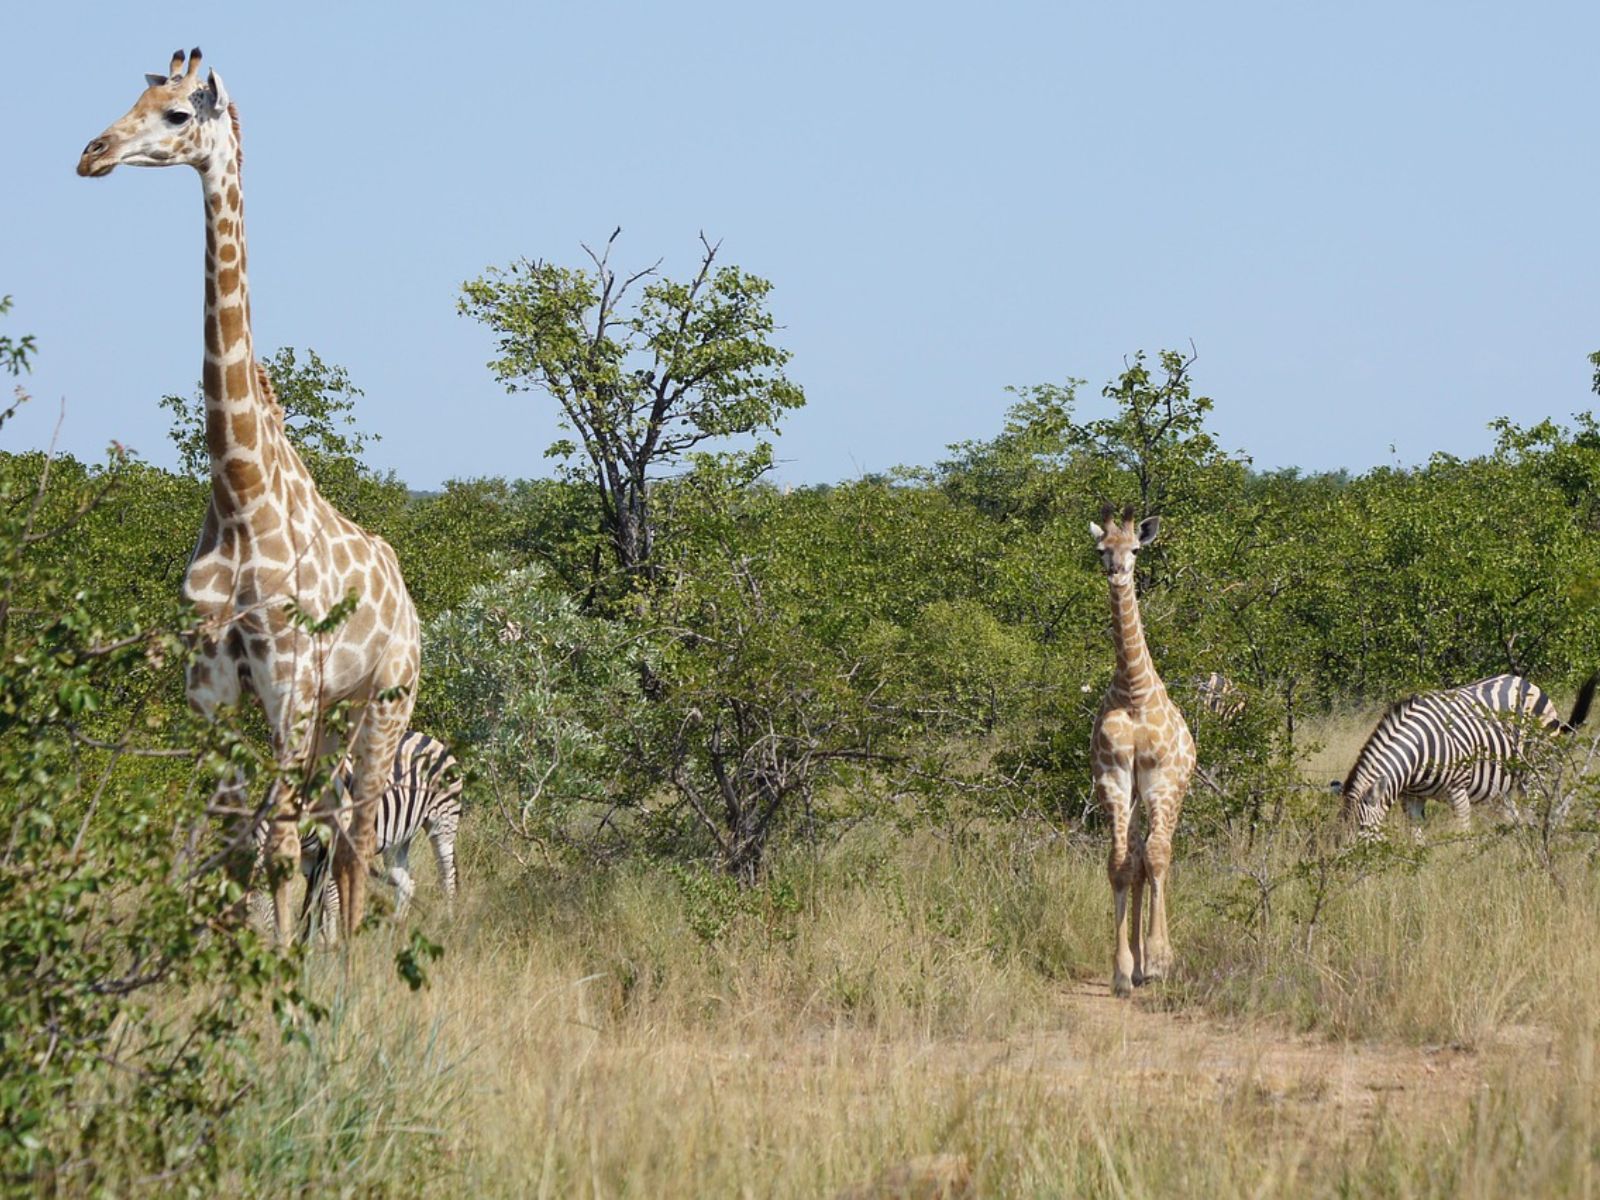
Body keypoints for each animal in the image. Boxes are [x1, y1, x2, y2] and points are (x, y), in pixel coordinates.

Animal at [77, 49, 420, 944]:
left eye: (176, 115)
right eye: (134, 99)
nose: (92, 153)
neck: (239, 490)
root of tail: (408, 600)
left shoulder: (289, 684)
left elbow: (277, 844)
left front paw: (279, 968)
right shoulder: (211, 691)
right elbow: (233, 842)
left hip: (386, 700)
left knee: (354, 832)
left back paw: (344, 962)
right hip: (335, 712)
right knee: (332, 831)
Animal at [299, 730, 463, 937]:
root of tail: (430, 739)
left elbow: (330, 901)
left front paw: (330, 942)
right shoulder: (307, 858)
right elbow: (313, 902)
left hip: (444, 821)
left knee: (446, 876)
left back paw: (448, 926)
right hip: (397, 838)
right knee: (406, 884)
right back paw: (394, 935)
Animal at [1338, 671, 1598, 837]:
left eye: (1361, 827)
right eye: (1339, 830)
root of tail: (1527, 683)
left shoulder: (1457, 791)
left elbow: (1463, 835)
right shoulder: (1411, 798)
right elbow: (1416, 838)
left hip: (1535, 770)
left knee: (1534, 808)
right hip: (1504, 781)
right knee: (1512, 815)